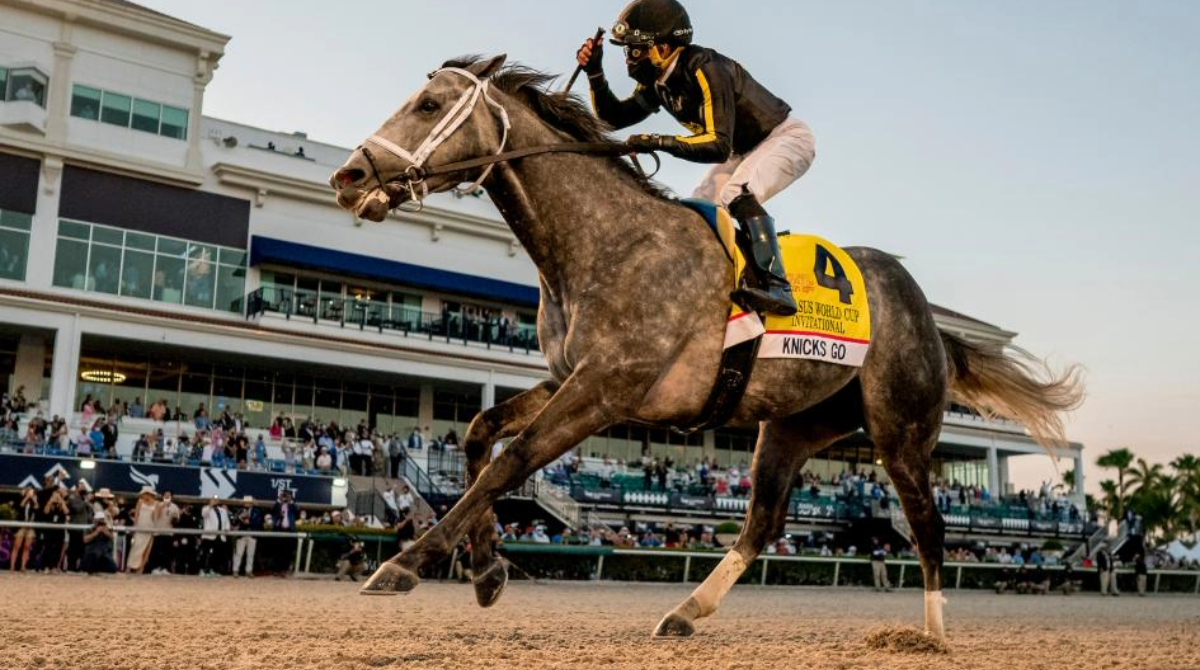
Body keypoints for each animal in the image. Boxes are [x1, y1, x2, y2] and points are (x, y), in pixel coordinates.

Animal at [329, 54, 1083, 641]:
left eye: (428, 104)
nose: (349, 177)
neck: (603, 241)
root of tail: (927, 314)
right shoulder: (571, 376)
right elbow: (481, 434)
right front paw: (486, 571)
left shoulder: (607, 389)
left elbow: (512, 462)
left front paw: (403, 565)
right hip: (793, 425)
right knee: (762, 522)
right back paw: (686, 612)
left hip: (900, 430)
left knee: (927, 525)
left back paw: (930, 633)